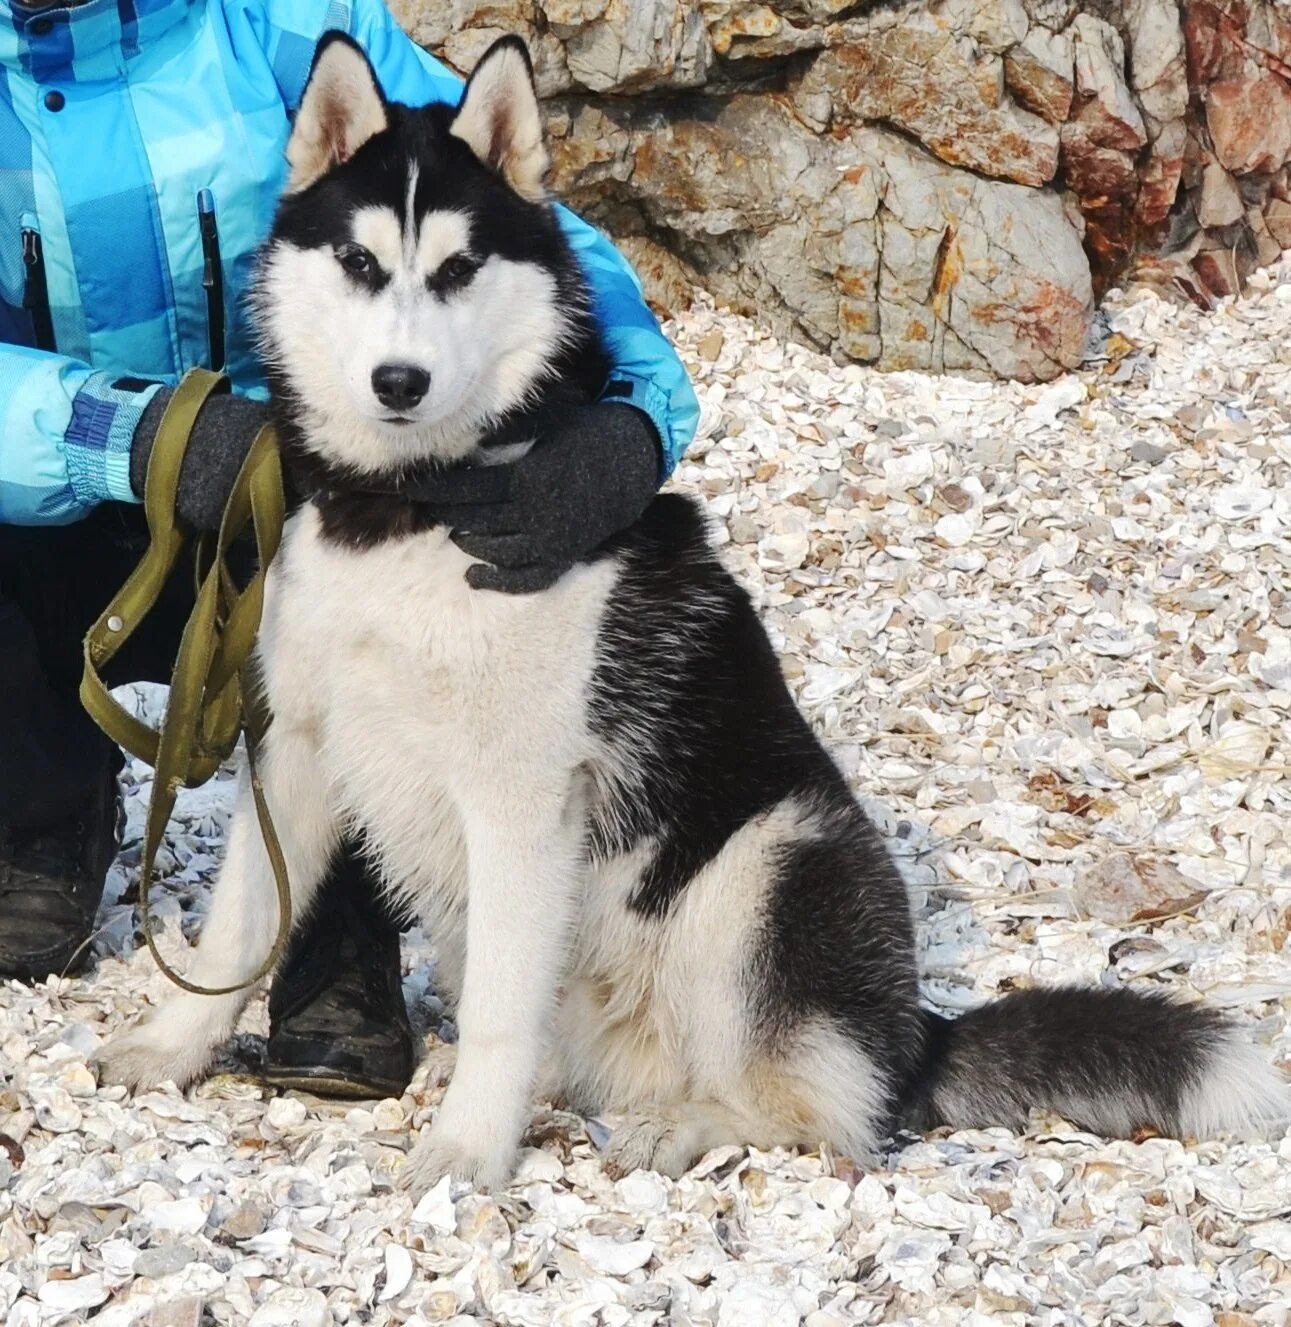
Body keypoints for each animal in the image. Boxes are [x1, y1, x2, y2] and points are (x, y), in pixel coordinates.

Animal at [98, 36, 1279, 1188]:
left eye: (458, 269)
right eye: (360, 264)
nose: (399, 380)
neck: (413, 505)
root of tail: (912, 1031)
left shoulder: (520, 797)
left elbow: (496, 1016)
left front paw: (469, 1150)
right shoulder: (293, 741)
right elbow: (233, 934)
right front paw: (169, 1049)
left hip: (766, 864)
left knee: (822, 1113)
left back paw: (689, 1126)